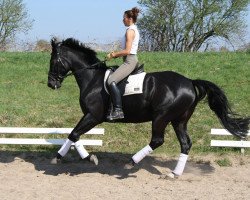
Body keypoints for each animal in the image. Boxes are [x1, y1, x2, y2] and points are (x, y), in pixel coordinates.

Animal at [47, 38, 249, 179]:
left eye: (53, 61)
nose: (51, 84)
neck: (93, 80)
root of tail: (190, 82)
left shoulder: (93, 116)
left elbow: (74, 134)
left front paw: (88, 158)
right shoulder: (90, 117)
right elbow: (73, 135)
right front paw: (58, 157)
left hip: (161, 117)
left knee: (157, 140)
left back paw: (131, 162)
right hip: (179, 120)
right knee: (185, 144)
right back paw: (174, 174)